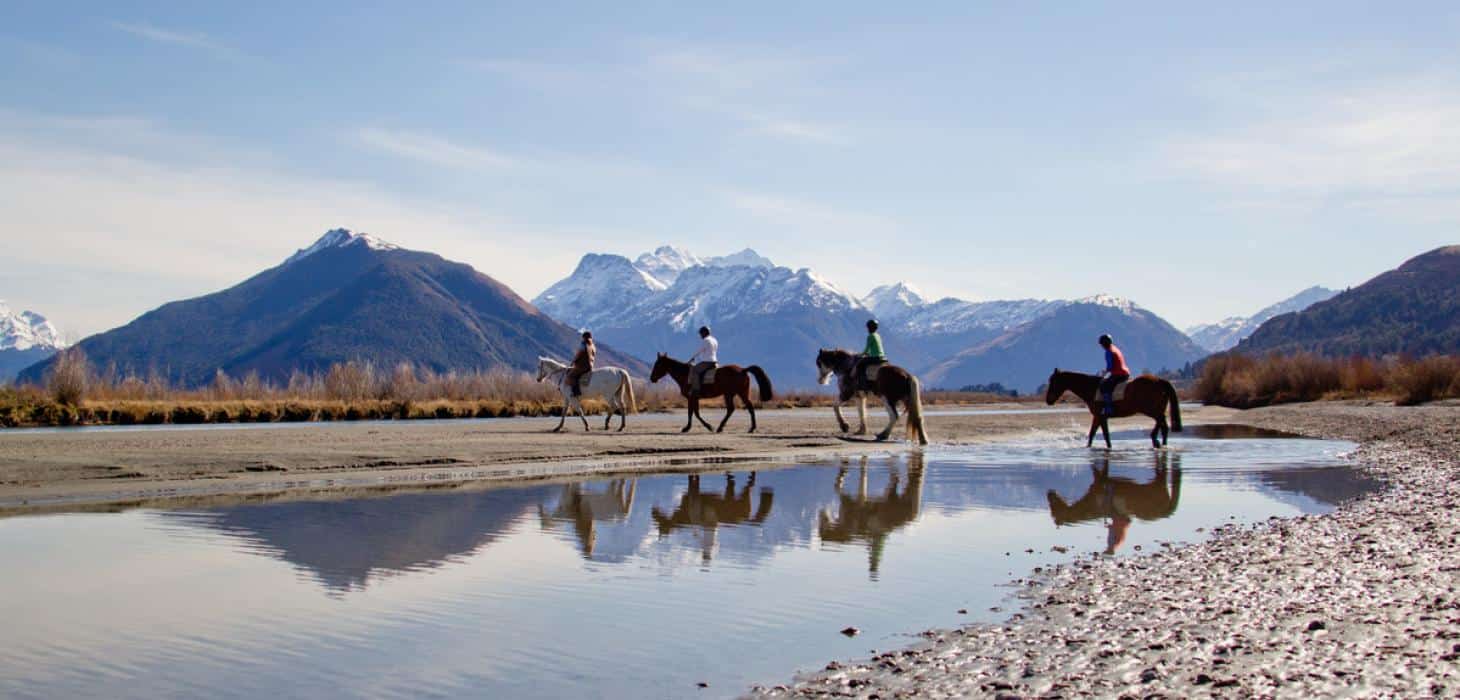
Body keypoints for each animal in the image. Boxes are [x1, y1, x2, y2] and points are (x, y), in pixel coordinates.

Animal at [1044, 368, 1182, 448]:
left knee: (1161, 420)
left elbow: (1102, 435)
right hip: (1156, 409)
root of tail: (1159, 380)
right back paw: (1161, 443)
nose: (1048, 400)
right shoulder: (1099, 417)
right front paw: (1090, 448)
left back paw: (1154, 439)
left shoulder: (1100, 416)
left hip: (1151, 410)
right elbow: (1094, 434)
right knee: (1163, 426)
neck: (1092, 388)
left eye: (1053, 381)